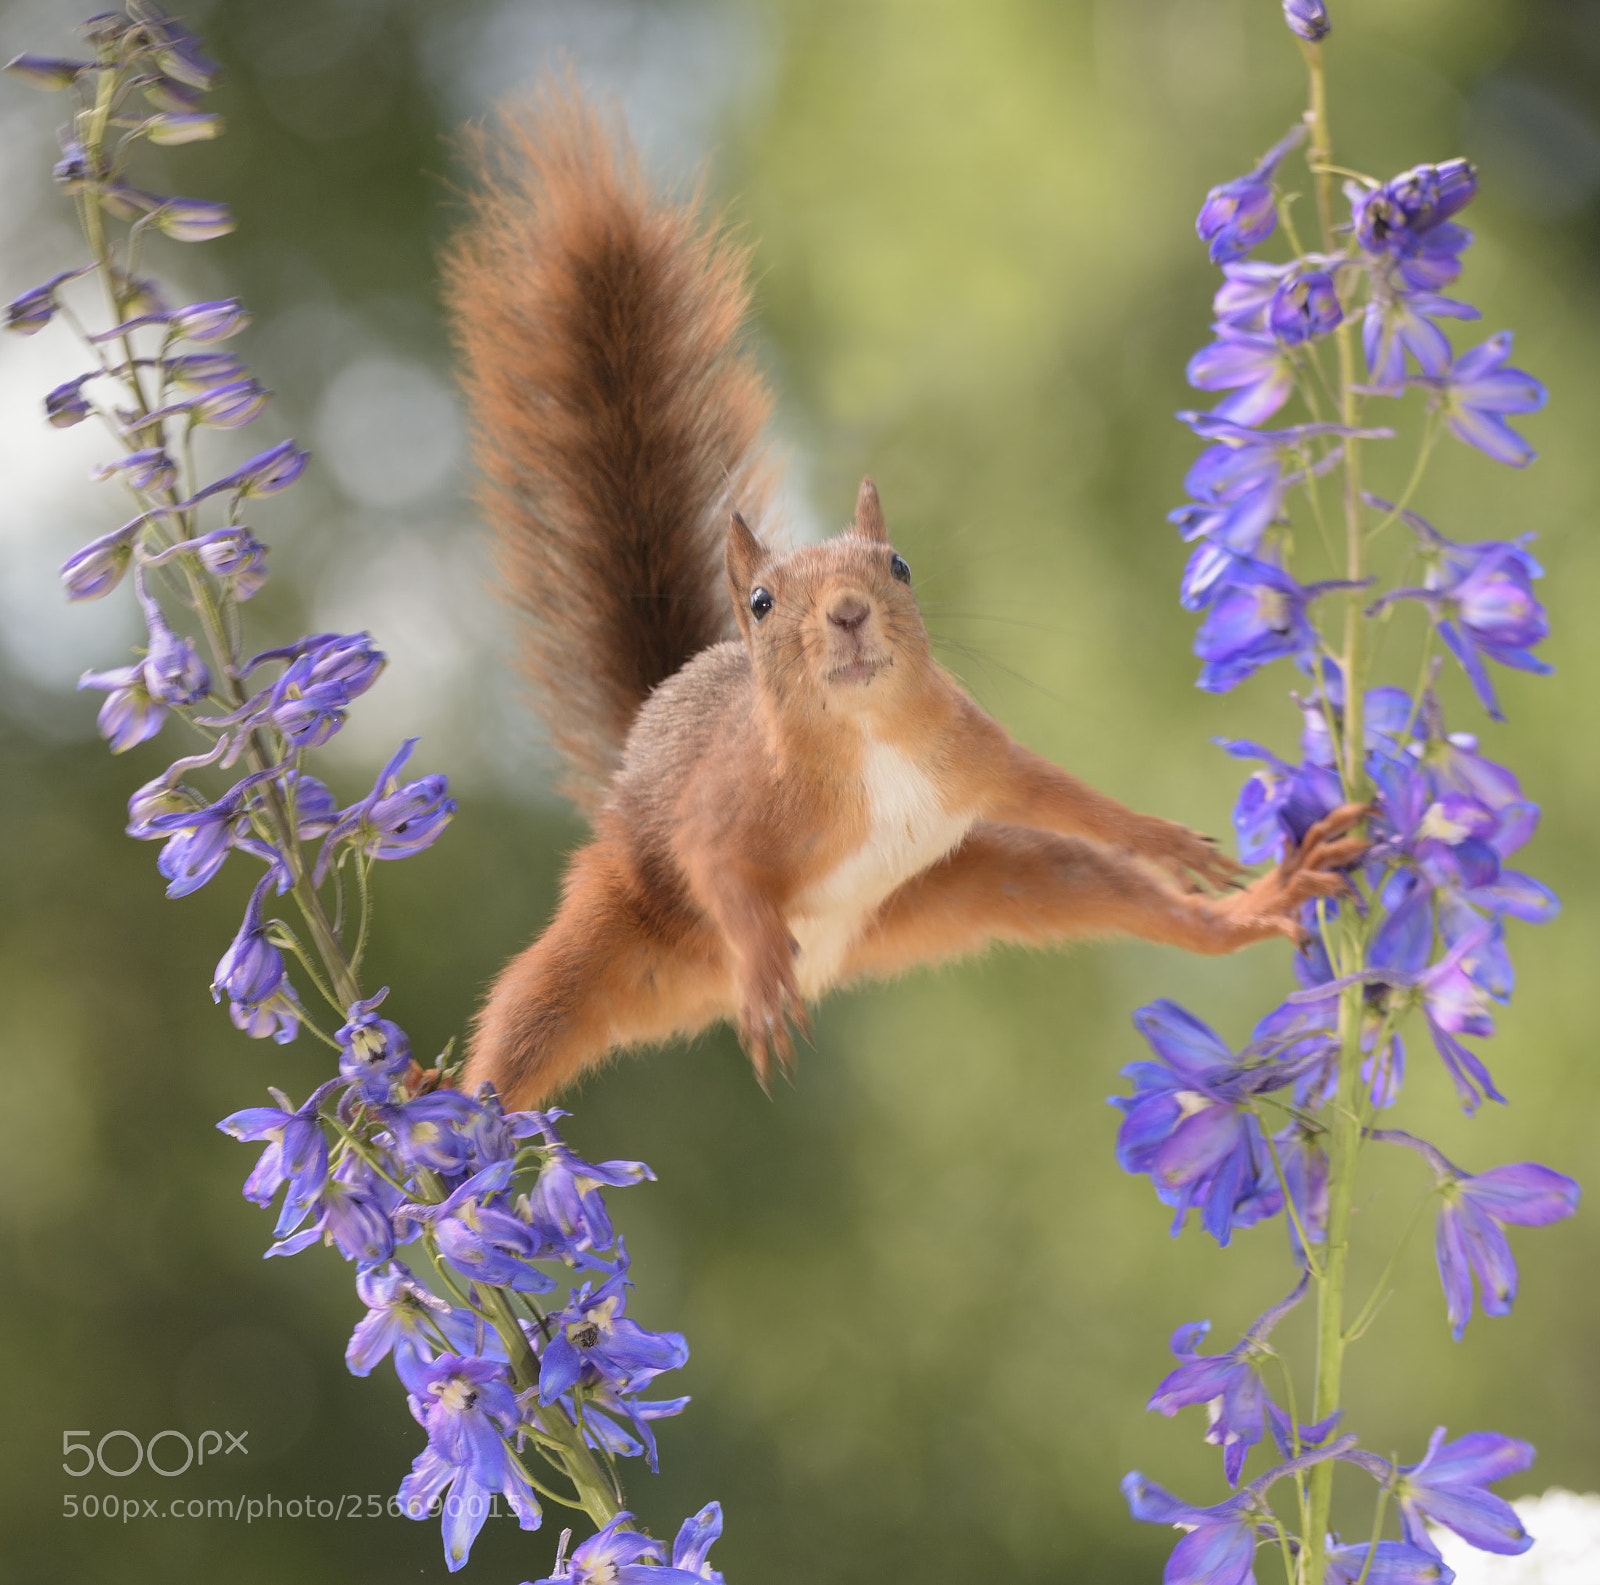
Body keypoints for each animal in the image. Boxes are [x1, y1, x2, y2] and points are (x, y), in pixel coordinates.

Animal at [443, 87, 1364, 1112]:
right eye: (760, 603)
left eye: (900, 564)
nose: (847, 611)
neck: (869, 740)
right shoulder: (722, 803)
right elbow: (720, 866)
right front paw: (764, 969)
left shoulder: (980, 752)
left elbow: (1066, 794)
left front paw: (1165, 838)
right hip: (608, 925)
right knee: (522, 1026)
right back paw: (445, 1118)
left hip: (980, 880)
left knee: (1110, 887)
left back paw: (1260, 903)